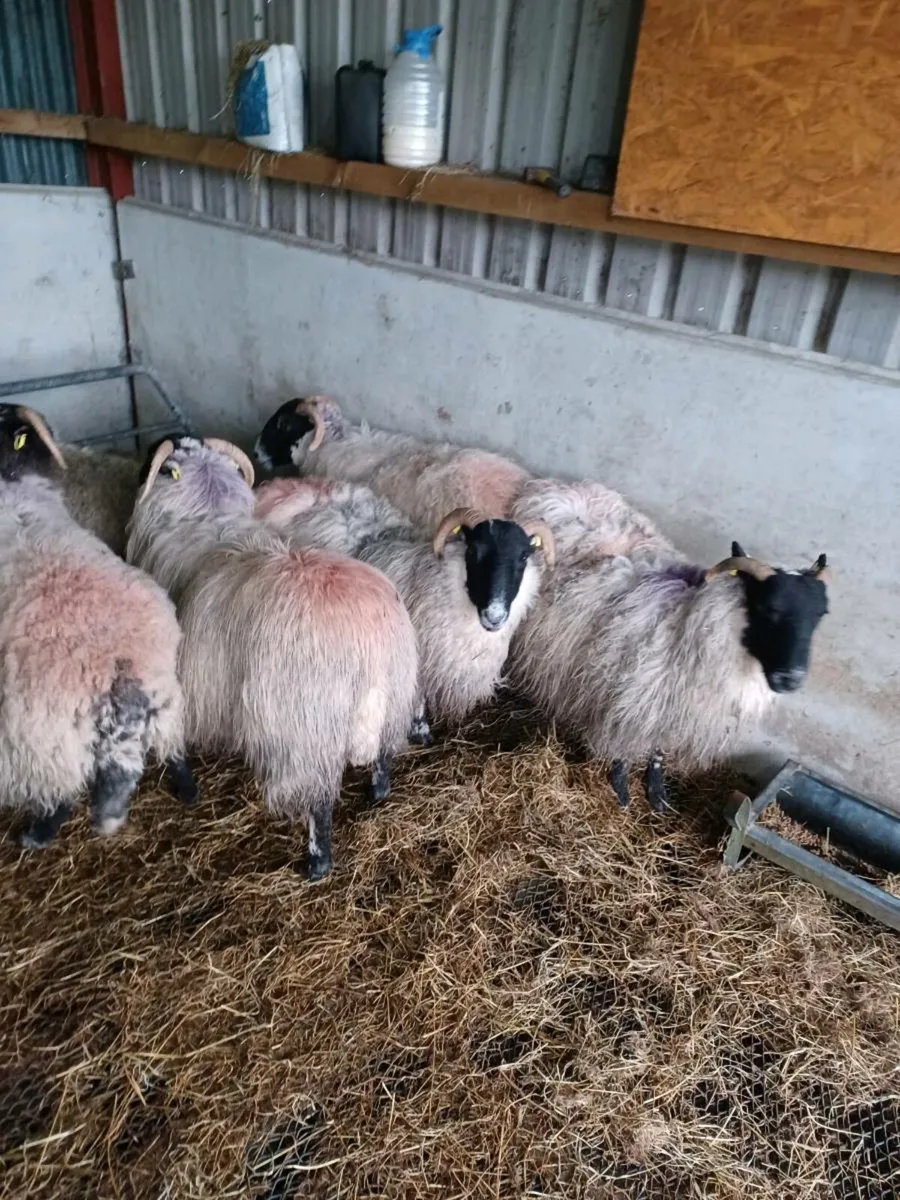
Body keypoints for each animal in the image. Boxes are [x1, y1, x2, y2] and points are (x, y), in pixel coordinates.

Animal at [0, 404, 194, 848]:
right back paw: (186, 789)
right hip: (165, 694)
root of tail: (117, 663)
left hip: (43, 739)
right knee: (173, 749)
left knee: (59, 793)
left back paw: (36, 835)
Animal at [127, 437, 421, 880]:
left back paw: (317, 863)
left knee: (318, 800)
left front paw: (185, 788)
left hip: (306, 731)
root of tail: (369, 640)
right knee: (384, 757)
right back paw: (378, 794)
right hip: (395, 697)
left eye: (159, 465)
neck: (205, 516)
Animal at [509, 478, 830, 810]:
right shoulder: (628, 697)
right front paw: (622, 791)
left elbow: (658, 752)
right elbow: (622, 747)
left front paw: (657, 793)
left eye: (819, 615)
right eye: (770, 608)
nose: (791, 679)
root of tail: (554, 486)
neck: (686, 624)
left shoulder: (670, 708)